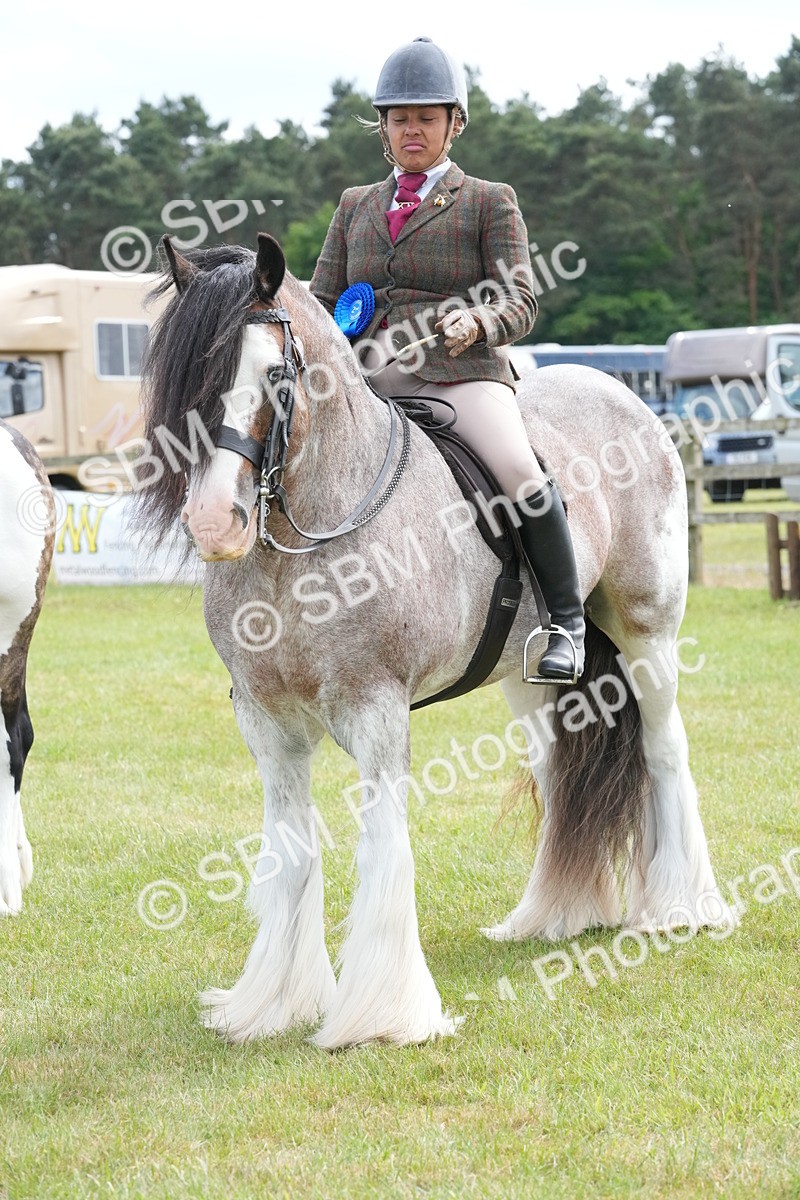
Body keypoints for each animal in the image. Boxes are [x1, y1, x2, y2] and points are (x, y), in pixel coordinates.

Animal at [136, 234, 734, 1048]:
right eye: (187, 380)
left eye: (276, 376)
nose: (212, 523)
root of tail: (621, 397)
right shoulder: (266, 723)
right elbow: (290, 851)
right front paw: (273, 1006)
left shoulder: (376, 709)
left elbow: (385, 849)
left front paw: (382, 1016)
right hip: (530, 679)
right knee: (558, 773)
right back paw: (552, 916)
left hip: (648, 632)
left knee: (665, 748)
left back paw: (681, 910)